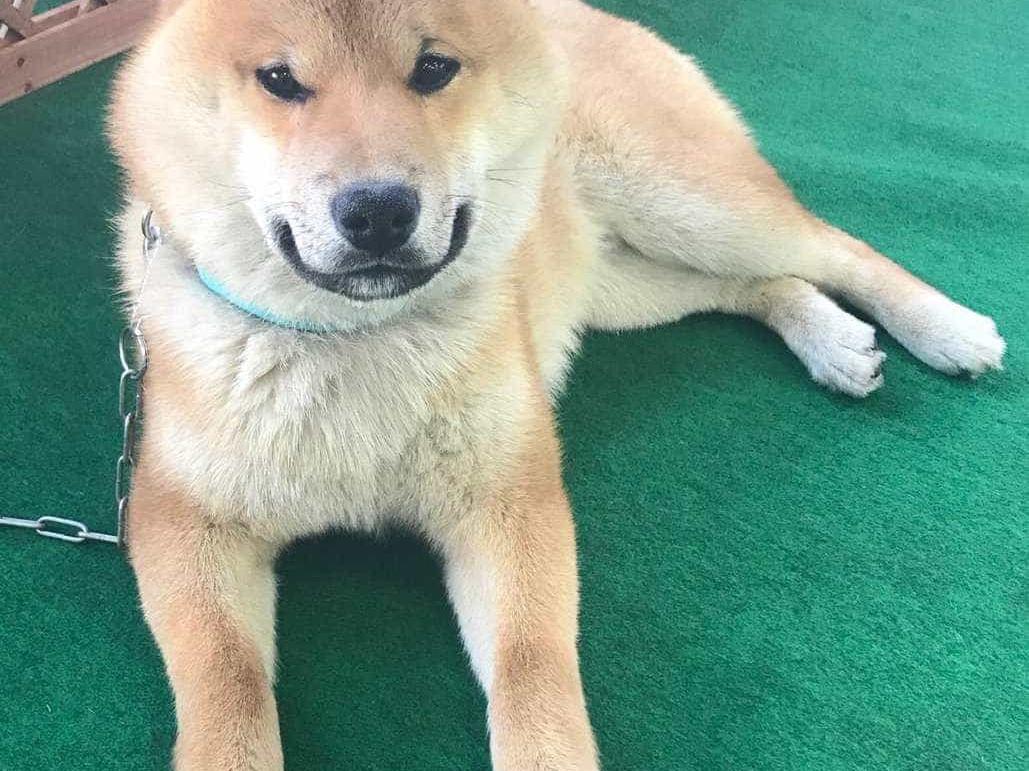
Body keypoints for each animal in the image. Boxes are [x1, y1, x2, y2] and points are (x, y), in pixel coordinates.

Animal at [108, 0, 1006, 768]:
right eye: (280, 78)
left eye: (433, 68)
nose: (377, 211)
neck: (355, 340)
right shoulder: (180, 520)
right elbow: (228, 683)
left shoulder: (509, 498)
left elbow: (530, 667)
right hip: (623, 282)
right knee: (751, 284)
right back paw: (832, 339)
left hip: (682, 203)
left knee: (831, 246)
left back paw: (944, 326)